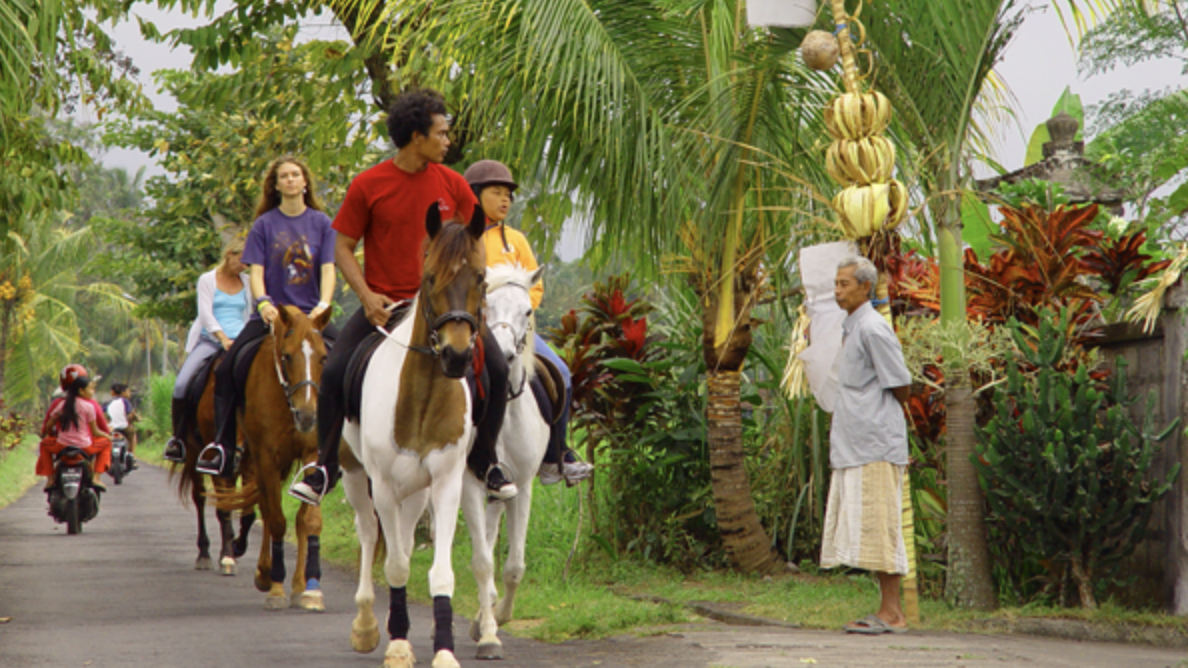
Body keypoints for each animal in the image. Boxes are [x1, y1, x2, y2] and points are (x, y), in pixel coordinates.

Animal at [213, 304, 332, 613]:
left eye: (324, 357)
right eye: (287, 356)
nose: (308, 416)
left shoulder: (312, 454)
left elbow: (309, 520)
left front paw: (311, 589)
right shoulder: (266, 456)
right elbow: (276, 519)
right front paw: (276, 587)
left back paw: (299, 584)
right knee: (267, 510)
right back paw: (265, 574)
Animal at [339, 203, 491, 665]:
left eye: (481, 277)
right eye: (431, 277)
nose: (457, 356)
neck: (421, 398)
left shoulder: (444, 483)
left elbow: (438, 573)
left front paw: (443, 649)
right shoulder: (384, 486)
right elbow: (396, 565)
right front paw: (398, 644)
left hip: (419, 489)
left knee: (403, 537)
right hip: (356, 476)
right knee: (370, 534)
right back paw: (367, 624)